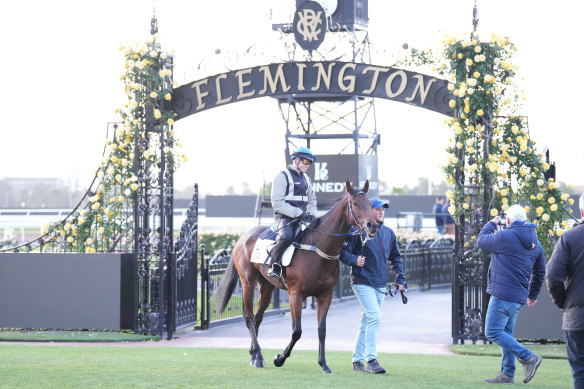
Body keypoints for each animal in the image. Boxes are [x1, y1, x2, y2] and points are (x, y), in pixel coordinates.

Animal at [214, 179, 378, 372]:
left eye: (370, 204)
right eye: (355, 204)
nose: (373, 226)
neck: (318, 248)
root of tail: (242, 238)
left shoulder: (325, 295)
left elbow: (322, 330)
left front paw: (323, 363)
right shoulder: (296, 295)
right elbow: (297, 331)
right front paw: (279, 358)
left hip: (267, 287)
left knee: (258, 317)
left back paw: (254, 355)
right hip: (247, 282)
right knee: (249, 317)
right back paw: (259, 355)